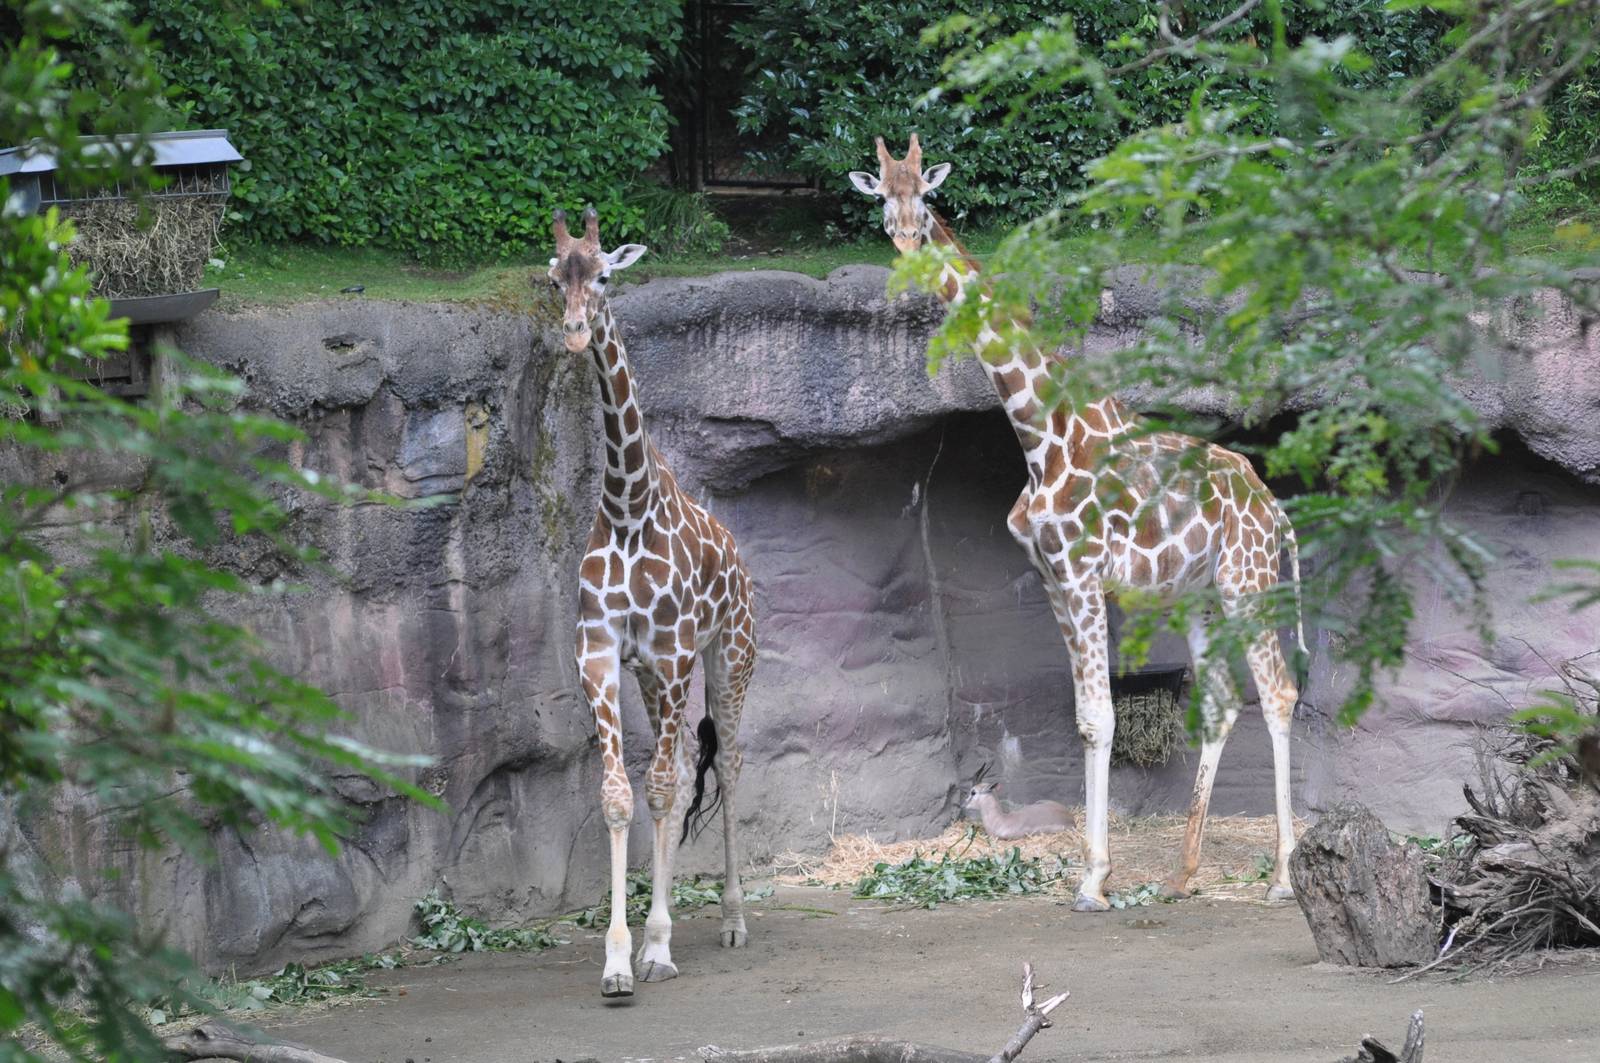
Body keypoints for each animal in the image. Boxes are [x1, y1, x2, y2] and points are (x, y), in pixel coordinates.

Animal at [548, 206, 757, 995]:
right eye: (557, 278)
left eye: (605, 275)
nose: (576, 332)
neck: (628, 507)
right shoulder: (602, 654)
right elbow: (622, 794)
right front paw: (617, 959)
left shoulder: (671, 655)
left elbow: (665, 789)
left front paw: (659, 943)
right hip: (650, 676)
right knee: (682, 767)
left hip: (730, 656)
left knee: (727, 762)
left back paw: (731, 920)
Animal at [849, 135, 1305, 910]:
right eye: (882, 196)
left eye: (926, 198)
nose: (908, 242)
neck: (1043, 437)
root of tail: (1271, 506)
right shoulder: (1053, 581)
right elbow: (1088, 719)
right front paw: (1099, 870)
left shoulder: (1085, 575)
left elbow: (1104, 716)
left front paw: (1093, 879)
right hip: (1197, 593)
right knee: (1220, 699)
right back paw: (1183, 872)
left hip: (1248, 582)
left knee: (1278, 691)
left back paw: (1280, 876)